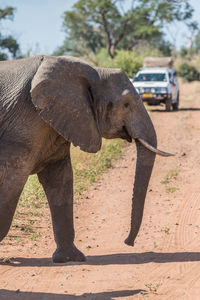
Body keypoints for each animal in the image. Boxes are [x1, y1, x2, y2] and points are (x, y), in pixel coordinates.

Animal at [0, 55, 172, 262]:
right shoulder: (23, 126)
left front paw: (69, 259)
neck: (94, 71)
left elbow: (60, 180)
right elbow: (11, 182)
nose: (128, 242)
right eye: (126, 104)